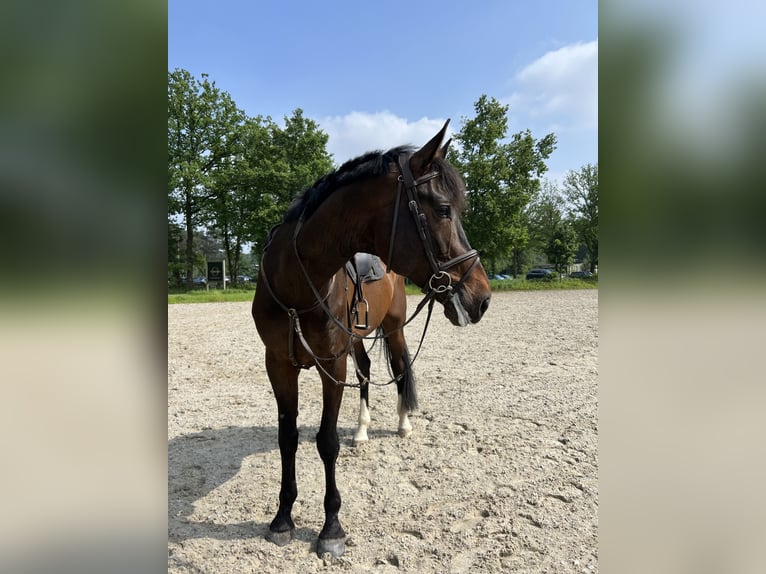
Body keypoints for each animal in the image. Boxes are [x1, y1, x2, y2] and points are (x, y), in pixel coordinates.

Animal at [252, 121, 492, 560]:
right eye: (443, 209)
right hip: (356, 341)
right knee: (365, 372)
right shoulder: (278, 364)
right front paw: (282, 518)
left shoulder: (331, 363)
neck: (297, 281)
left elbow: (326, 441)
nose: (481, 297)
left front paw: (331, 528)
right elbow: (288, 437)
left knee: (399, 369)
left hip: (393, 330)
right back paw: (363, 430)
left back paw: (402, 425)